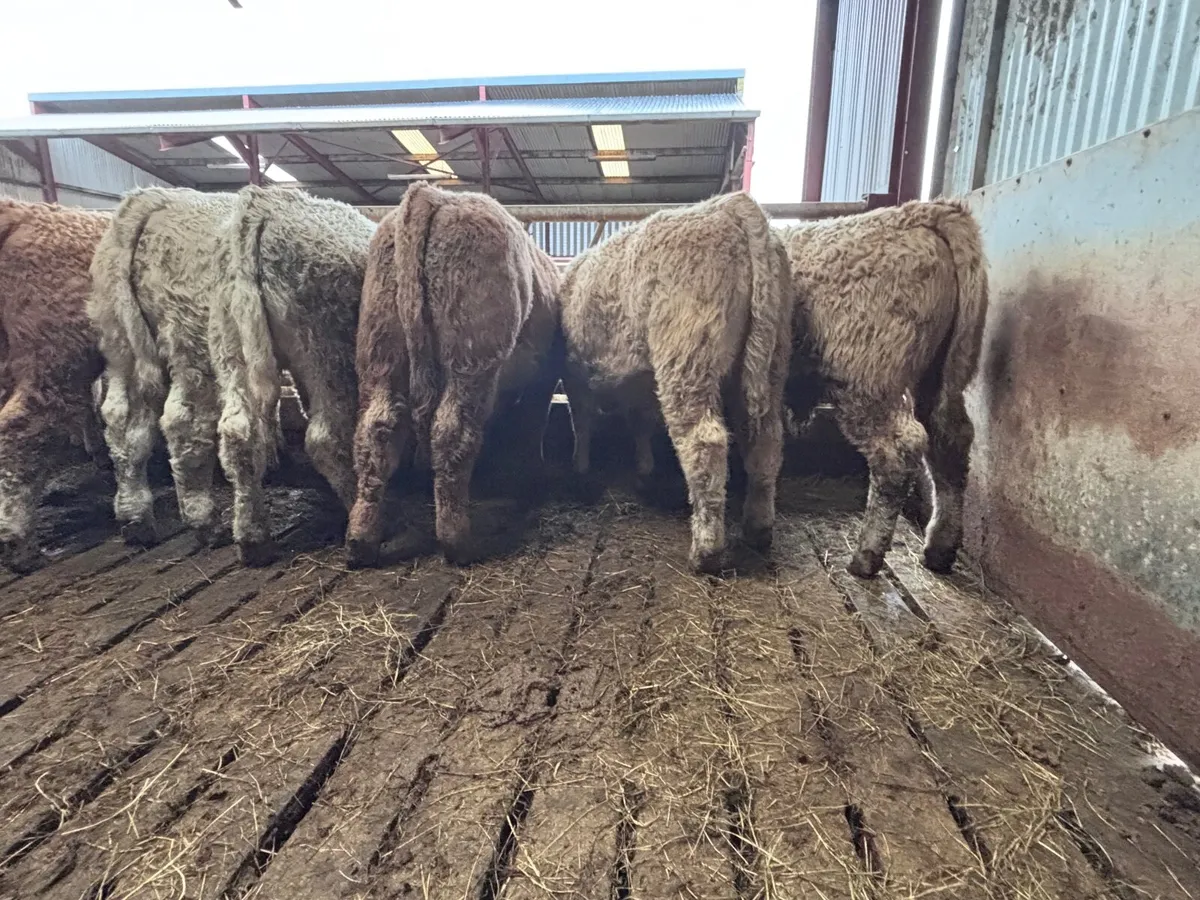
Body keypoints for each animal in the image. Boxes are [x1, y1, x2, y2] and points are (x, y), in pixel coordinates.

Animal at [89, 187, 236, 547]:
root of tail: (153, 198)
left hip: (120, 343)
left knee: (122, 421)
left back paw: (135, 518)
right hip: (193, 339)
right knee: (186, 424)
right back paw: (204, 520)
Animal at [208, 185, 375, 565]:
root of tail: (260, 204)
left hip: (230, 345)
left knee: (237, 434)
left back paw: (252, 538)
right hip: (325, 346)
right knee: (324, 438)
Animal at [346, 182, 560, 567]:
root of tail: (433, 195)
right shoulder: (544, 377)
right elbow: (534, 423)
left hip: (379, 348)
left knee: (376, 430)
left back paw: (361, 541)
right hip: (470, 359)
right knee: (452, 431)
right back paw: (458, 541)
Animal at [560, 191, 792, 573]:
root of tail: (731, 206)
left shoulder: (574, 375)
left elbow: (582, 423)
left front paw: (580, 467)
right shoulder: (639, 382)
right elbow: (639, 423)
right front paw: (644, 470)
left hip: (687, 356)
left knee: (704, 442)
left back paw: (706, 550)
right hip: (771, 359)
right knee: (765, 440)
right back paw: (758, 530)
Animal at [779, 199, 988, 578]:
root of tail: (921, 212)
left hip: (867, 380)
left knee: (896, 453)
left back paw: (867, 556)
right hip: (941, 376)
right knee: (950, 440)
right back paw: (940, 548)